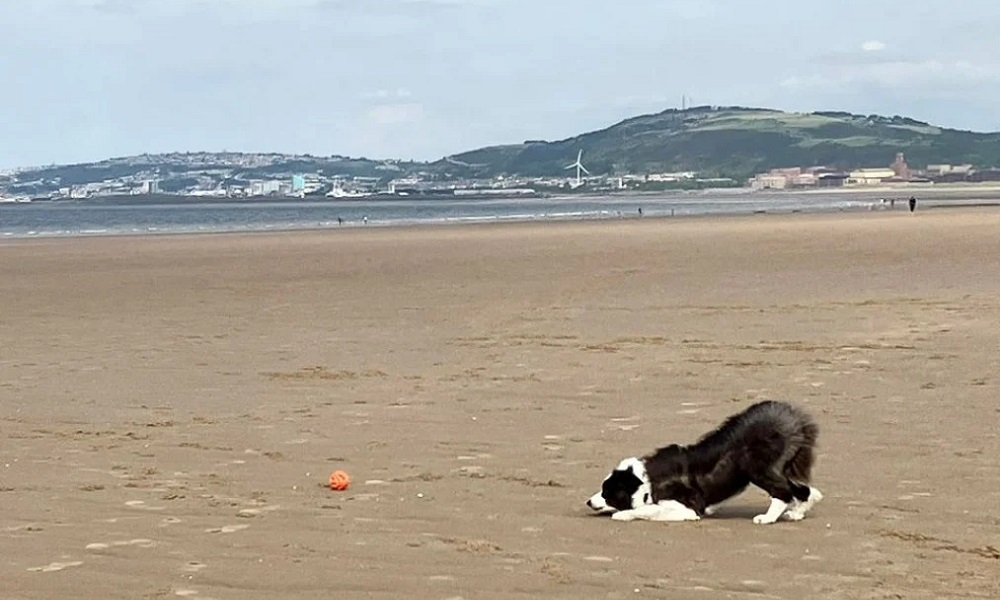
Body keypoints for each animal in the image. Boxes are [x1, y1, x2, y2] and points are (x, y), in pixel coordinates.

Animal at [584, 404, 820, 524]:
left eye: (607, 491)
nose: (588, 501)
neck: (646, 481)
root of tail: (790, 416)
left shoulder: (688, 509)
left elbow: (649, 510)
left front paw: (622, 515)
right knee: (805, 489)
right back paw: (796, 513)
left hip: (756, 466)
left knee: (783, 491)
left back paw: (767, 518)